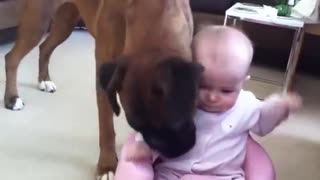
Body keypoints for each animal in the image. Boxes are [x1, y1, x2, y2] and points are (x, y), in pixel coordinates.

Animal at [3, 0, 201, 180]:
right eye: (135, 125)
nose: (175, 153)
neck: (154, 11)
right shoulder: (104, 72)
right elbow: (106, 128)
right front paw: (107, 166)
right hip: (39, 20)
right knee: (11, 57)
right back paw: (12, 98)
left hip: (65, 23)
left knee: (45, 47)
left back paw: (44, 80)